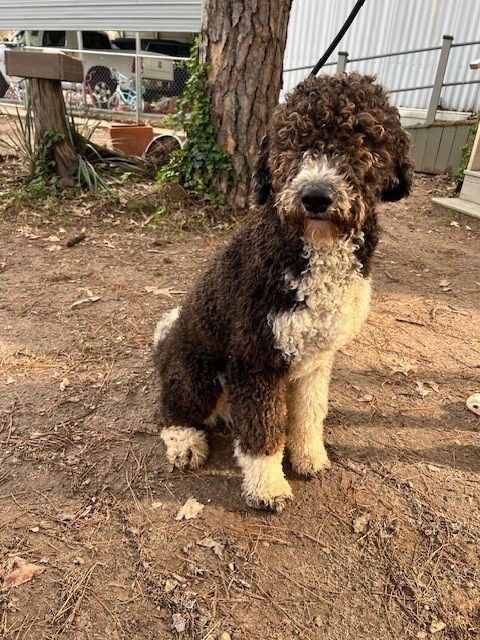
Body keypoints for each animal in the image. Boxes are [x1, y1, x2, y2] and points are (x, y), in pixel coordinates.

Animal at [153, 72, 412, 510]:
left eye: (363, 138)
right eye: (291, 140)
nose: (315, 196)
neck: (315, 247)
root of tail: (163, 346)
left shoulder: (317, 358)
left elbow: (309, 415)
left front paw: (309, 456)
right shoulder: (255, 359)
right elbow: (262, 433)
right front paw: (268, 486)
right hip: (195, 373)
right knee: (171, 410)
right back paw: (185, 441)